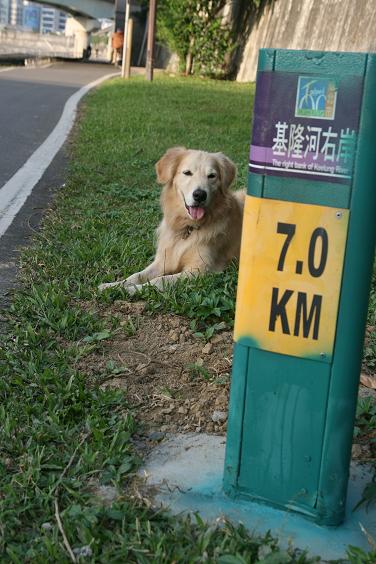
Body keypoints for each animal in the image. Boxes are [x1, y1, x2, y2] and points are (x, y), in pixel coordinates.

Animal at [100, 145, 245, 296]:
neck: (187, 227)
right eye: (187, 173)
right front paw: (113, 286)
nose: (200, 195)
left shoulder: (200, 270)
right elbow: (136, 275)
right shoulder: (163, 260)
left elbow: (160, 280)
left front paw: (133, 289)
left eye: (212, 176)